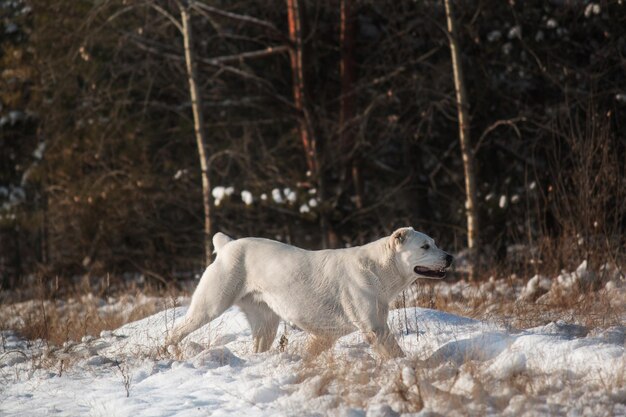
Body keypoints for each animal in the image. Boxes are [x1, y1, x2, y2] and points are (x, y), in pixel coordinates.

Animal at [167, 226, 448, 356]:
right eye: (425, 246)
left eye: (436, 243)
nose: (451, 257)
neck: (380, 268)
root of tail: (227, 245)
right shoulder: (375, 329)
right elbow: (395, 354)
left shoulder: (327, 334)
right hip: (210, 305)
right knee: (177, 330)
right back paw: (173, 352)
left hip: (266, 322)